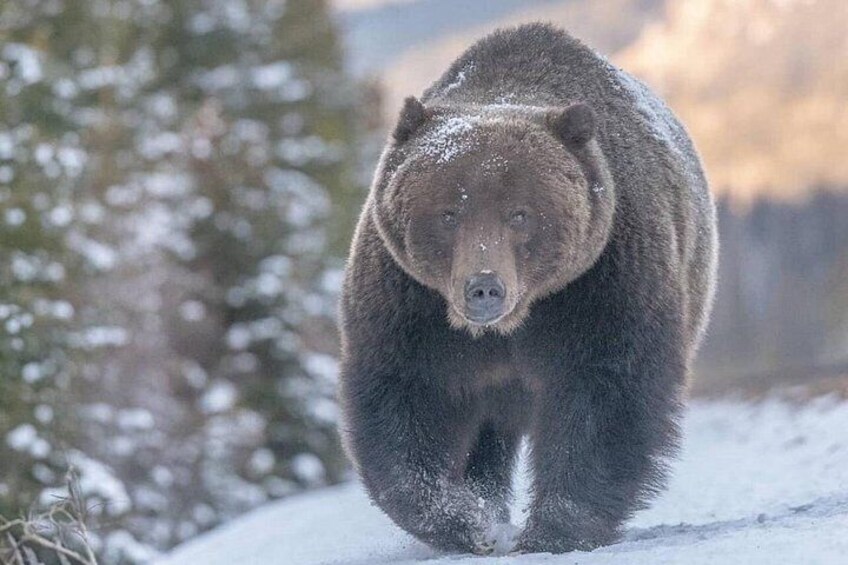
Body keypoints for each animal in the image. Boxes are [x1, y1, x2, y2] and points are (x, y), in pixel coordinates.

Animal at [339, 23, 718, 555]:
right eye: (448, 213)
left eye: (520, 213)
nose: (484, 288)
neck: (511, 327)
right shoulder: (409, 305)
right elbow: (404, 401)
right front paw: (466, 521)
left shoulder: (601, 285)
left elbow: (605, 396)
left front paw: (554, 528)